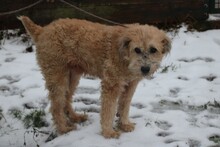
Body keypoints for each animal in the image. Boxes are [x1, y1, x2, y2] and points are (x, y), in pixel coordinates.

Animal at [18, 15, 171, 138]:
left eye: (153, 50)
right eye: (137, 49)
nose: (145, 69)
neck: (124, 54)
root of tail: (42, 30)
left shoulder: (130, 85)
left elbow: (124, 106)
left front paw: (124, 124)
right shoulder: (111, 85)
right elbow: (109, 110)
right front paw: (108, 132)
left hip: (73, 76)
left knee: (66, 99)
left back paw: (75, 117)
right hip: (57, 77)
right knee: (55, 107)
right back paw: (63, 129)